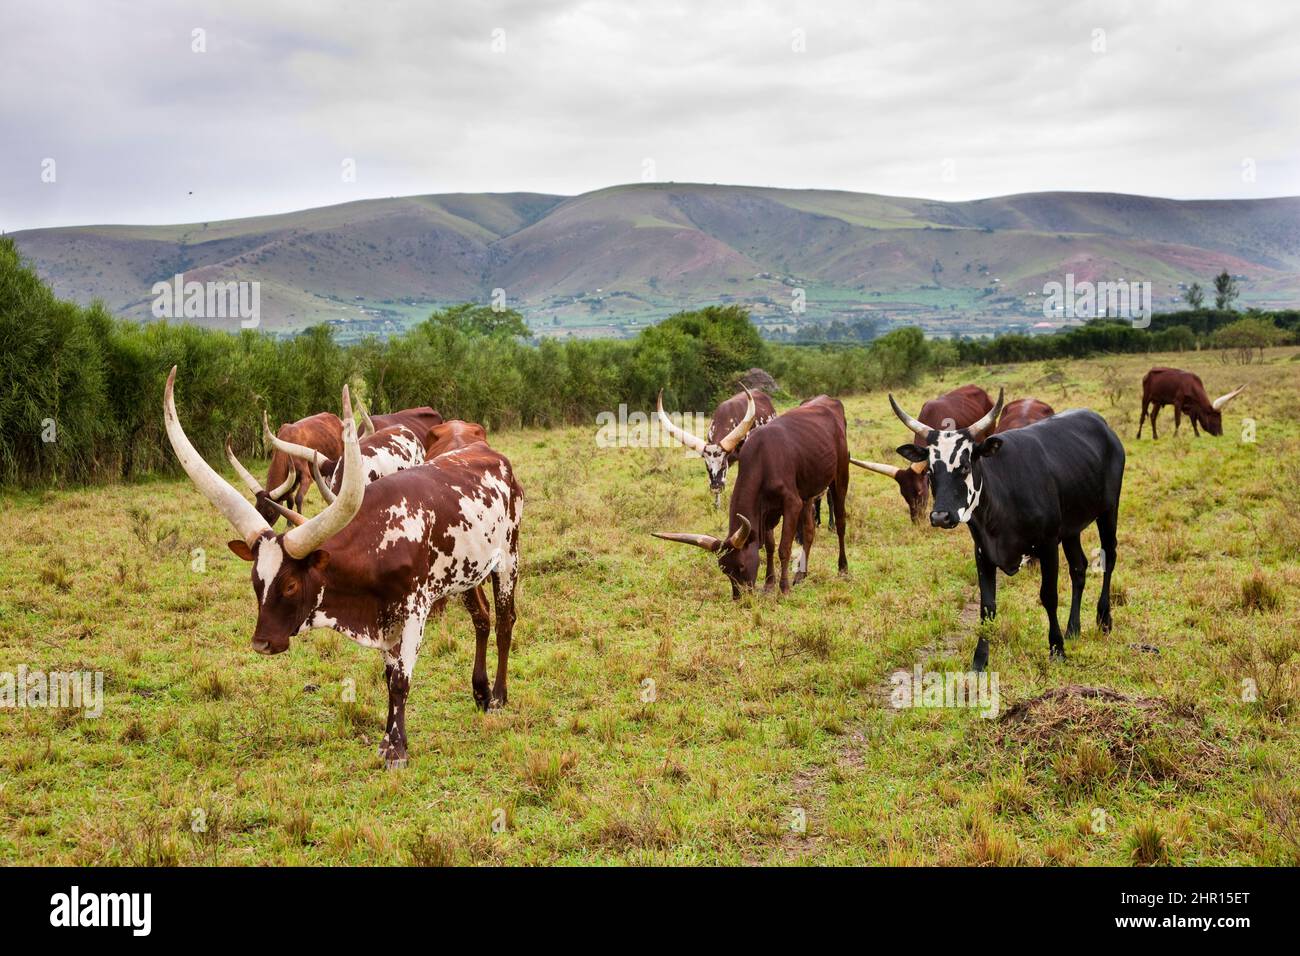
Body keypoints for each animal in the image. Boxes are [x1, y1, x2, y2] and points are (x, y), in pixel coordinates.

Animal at [165, 368, 523, 769]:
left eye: (290, 585)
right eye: (256, 581)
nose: (261, 643)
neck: (381, 538)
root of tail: (489, 453)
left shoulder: (414, 610)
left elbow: (401, 680)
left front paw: (397, 751)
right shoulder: (384, 618)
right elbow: (389, 676)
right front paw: (388, 741)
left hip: (508, 558)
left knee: (505, 621)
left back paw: (498, 696)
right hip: (468, 571)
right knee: (482, 618)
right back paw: (480, 692)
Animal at [652, 395, 848, 596]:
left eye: (740, 566)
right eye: (724, 569)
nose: (740, 597)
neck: (763, 459)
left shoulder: (792, 503)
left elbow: (783, 547)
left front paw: (783, 588)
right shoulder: (766, 511)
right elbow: (770, 546)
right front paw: (769, 585)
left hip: (840, 477)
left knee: (841, 523)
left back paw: (842, 569)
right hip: (808, 493)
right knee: (809, 530)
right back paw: (801, 574)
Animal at [888, 389, 1124, 671]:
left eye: (965, 466)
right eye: (931, 472)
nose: (940, 516)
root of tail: (1101, 424)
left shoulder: (1047, 546)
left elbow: (1049, 595)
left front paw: (1056, 649)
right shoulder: (983, 552)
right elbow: (987, 606)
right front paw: (980, 660)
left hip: (1108, 510)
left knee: (1109, 557)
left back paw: (1104, 619)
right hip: (1071, 527)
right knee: (1079, 568)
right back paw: (1073, 629)